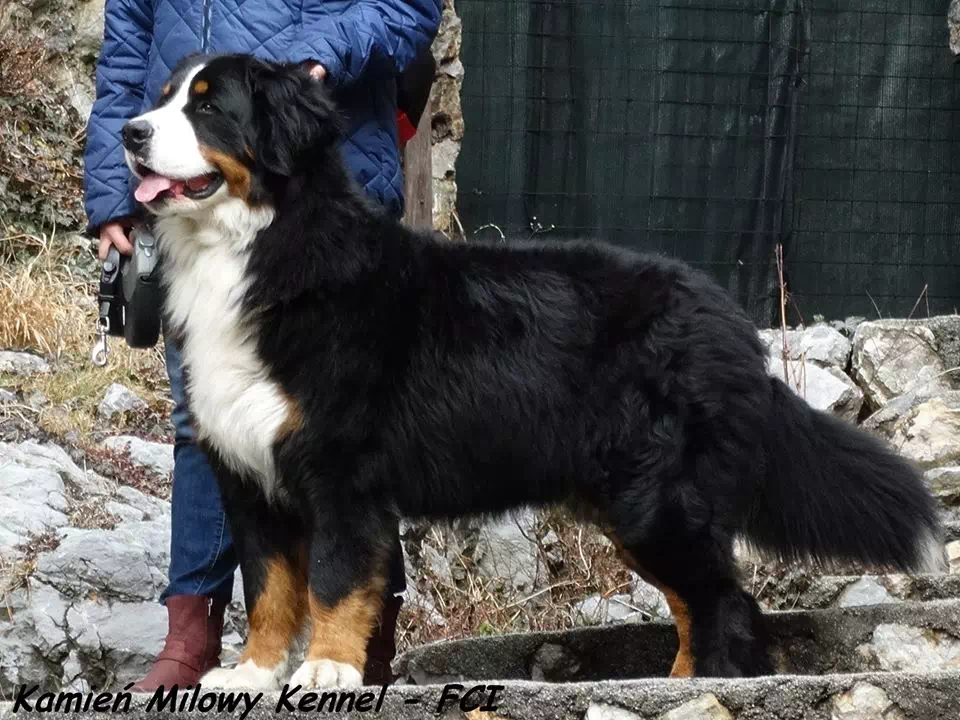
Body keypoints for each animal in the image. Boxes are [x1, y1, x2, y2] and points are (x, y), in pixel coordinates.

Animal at [122, 54, 943, 690]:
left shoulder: (340, 475)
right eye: (165, 96)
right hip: (628, 503)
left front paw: (327, 669)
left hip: (657, 502)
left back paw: (699, 685)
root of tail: (727, 317)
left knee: (725, 603)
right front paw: (253, 675)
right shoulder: (247, 475)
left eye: (209, 107)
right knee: (698, 602)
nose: (130, 132)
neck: (262, 250)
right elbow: (267, 589)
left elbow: (332, 580)